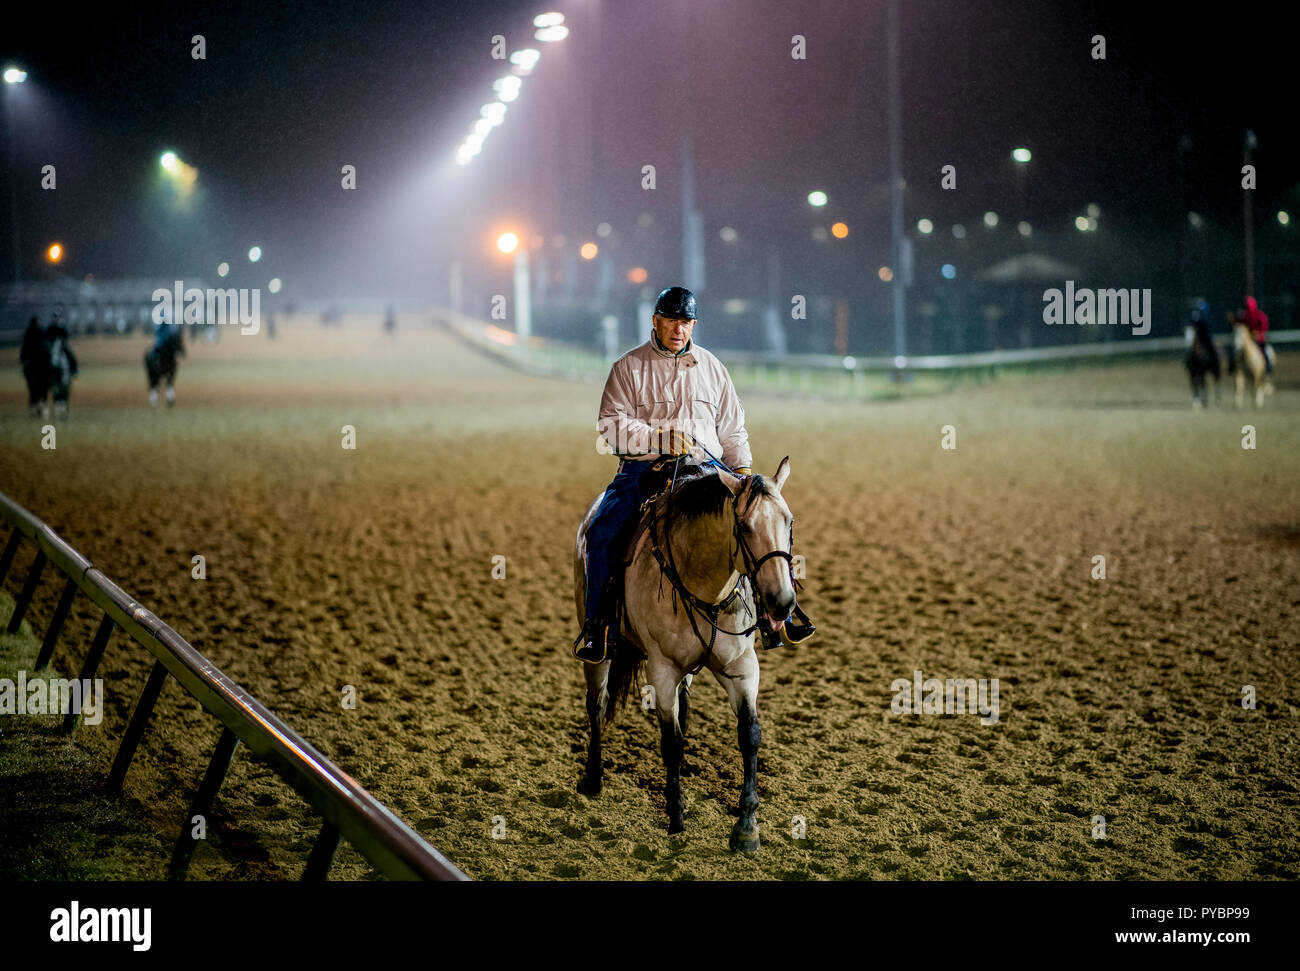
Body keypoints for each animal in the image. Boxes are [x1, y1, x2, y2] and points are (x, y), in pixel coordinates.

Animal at [574, 460, 795, 852]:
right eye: (744, 526)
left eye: (789, 522)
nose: (782, 602)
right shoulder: (663, 669)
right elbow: (671, 741)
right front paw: (676, 816)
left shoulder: (741, 668)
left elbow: (749, 734)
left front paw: (747, 828)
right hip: (597, 652)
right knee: (596, 704)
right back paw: (593, 778)